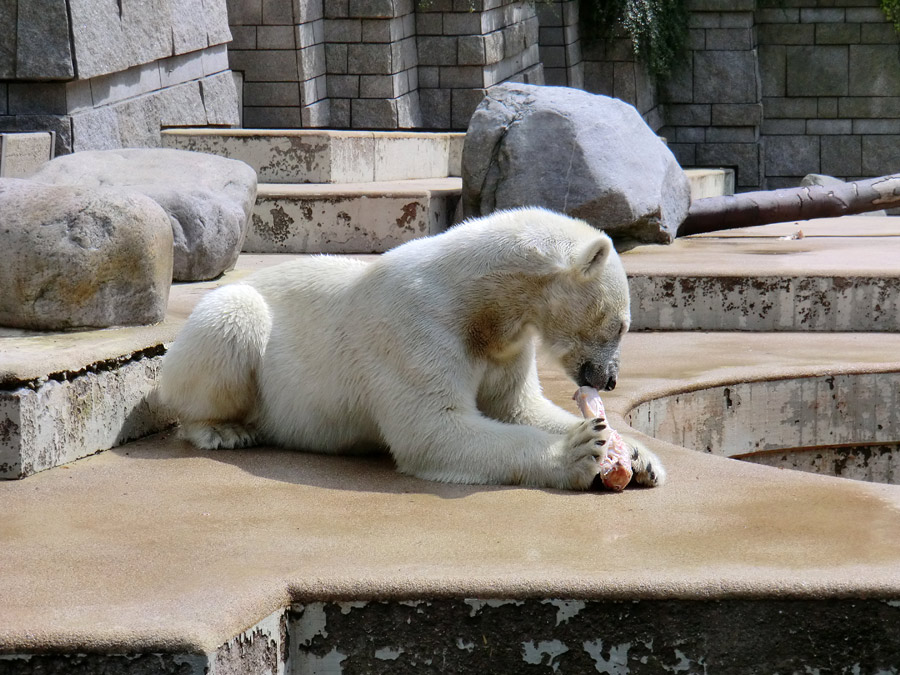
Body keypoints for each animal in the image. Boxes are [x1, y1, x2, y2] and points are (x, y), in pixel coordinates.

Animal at [158, 207, 664, 492]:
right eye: (622, 325)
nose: (609, 379)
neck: (477, 299)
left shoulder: (504, 343)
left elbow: (518, 407)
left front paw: (639, 458)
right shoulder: (414, 327)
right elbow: (433, 429)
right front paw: (580, 451)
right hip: (225, 328)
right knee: (233, 319)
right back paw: (223, 430)